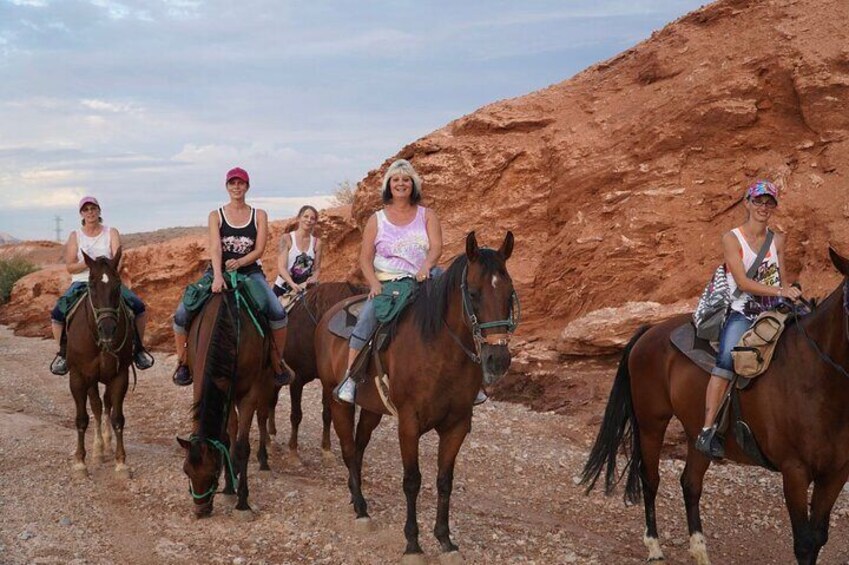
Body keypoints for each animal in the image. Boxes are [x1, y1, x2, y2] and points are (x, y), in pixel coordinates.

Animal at [68, 249, 134, 478]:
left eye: (118, 285)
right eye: (92, 285)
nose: (108, 329)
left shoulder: (120, 375)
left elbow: (118, 418)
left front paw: (121, 463)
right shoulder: (78, 376)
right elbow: (81, 419)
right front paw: (80, 463)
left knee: (105, 405)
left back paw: (105, 444)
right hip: (90, 379)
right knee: (96, 406)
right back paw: (97, 449)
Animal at [176, 284, 274, 516]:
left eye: (213, 472)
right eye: (186, 471)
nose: (201, 510)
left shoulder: (249, 393)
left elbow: (243, 446)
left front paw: (242, 501)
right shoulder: (220, 389)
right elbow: (227, 438)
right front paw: (230, 487)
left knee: (262, 416)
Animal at [268, 282, 368, 462]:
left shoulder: (326, 380)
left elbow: (327, 414)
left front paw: (326, 450)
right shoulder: (297, 380)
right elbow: (296, 415)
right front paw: (293, 452)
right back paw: (269, 439)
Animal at [316, 230, 516, 560]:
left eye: (510, 294)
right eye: (474, 294)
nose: (497, 360)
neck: (439, 351)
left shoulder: (456, 426)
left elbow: (444, 481)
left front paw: (445, 540)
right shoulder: (409, 424)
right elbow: (412, 481)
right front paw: (412, 543)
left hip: (372, 409)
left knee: (358, 448)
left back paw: (357, 499)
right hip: (338, 402)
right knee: (347, 449)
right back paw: (361, 510)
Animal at [584, 248, 849, 564]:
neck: (817, 378)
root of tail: (650, 331)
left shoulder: (836, 474)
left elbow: (818, 537)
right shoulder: (794, 470)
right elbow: (805, 543)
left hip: (696, 432)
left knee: (690, 484)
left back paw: (700, 551)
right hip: (651, 423)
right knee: (650, 478)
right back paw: (654, 546)